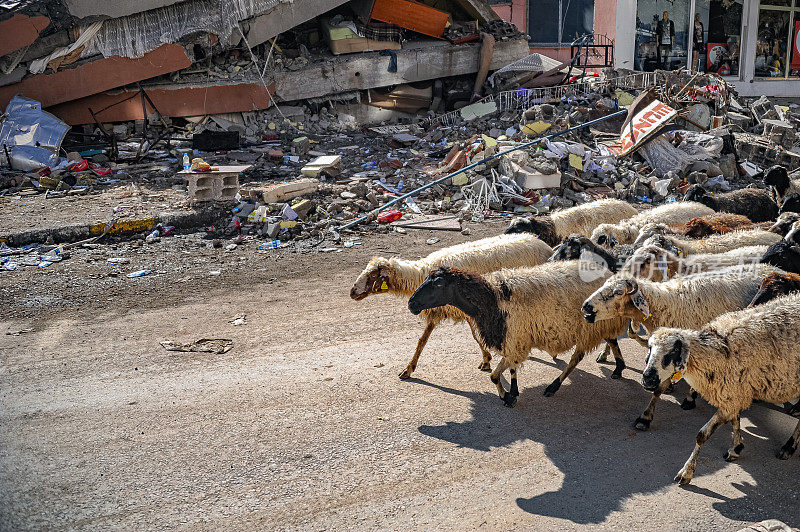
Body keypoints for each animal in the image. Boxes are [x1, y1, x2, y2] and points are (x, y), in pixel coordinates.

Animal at [354, 233, 552, 378]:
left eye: (373, 275)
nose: (352, 292)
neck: (420, 274)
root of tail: (542, 243)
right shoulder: (437, 311)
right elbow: (422, 341)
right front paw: (408, 369)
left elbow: (475, 336)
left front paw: (486, 359)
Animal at [410, 260, 628, 406]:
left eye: (438, 284)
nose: (411, 304)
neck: (492, 300)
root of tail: (607, 272)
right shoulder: (511, 339)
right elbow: (505, 371)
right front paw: (510, 393)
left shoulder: (515, 337)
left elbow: (501, 374)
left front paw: (509, 395)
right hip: (601, 322)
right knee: (612, 340)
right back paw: (618, 368)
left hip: (591, 326)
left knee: (577, 358)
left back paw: (553, 387)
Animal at [580, 264, 780, 430]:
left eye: (618, 292)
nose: (585, 306)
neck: (667, 304)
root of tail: (773, 267)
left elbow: (659, 389)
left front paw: (646, 417)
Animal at [640, 296, 800, 486]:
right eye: (650, 348)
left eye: (673, 352)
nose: (647, 379)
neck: (719, 349)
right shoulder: (735, 392)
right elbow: (735, 420)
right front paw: (736, 448)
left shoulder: (732, 394)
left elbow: (702, 435)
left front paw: (686, 472)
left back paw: (788, 448)